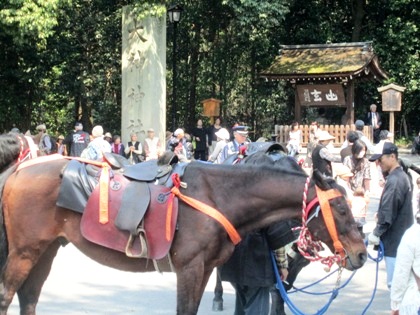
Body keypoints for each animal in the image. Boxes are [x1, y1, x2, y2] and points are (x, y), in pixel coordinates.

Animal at [0, 157, 366, 314]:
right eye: (341, 209)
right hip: (24, 250)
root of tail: (18, 170)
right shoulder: (189, 267)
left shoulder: (203, 269)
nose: (362, 253)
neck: (219, 196)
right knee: (8, 295)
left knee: (29, 297)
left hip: (46, 248)